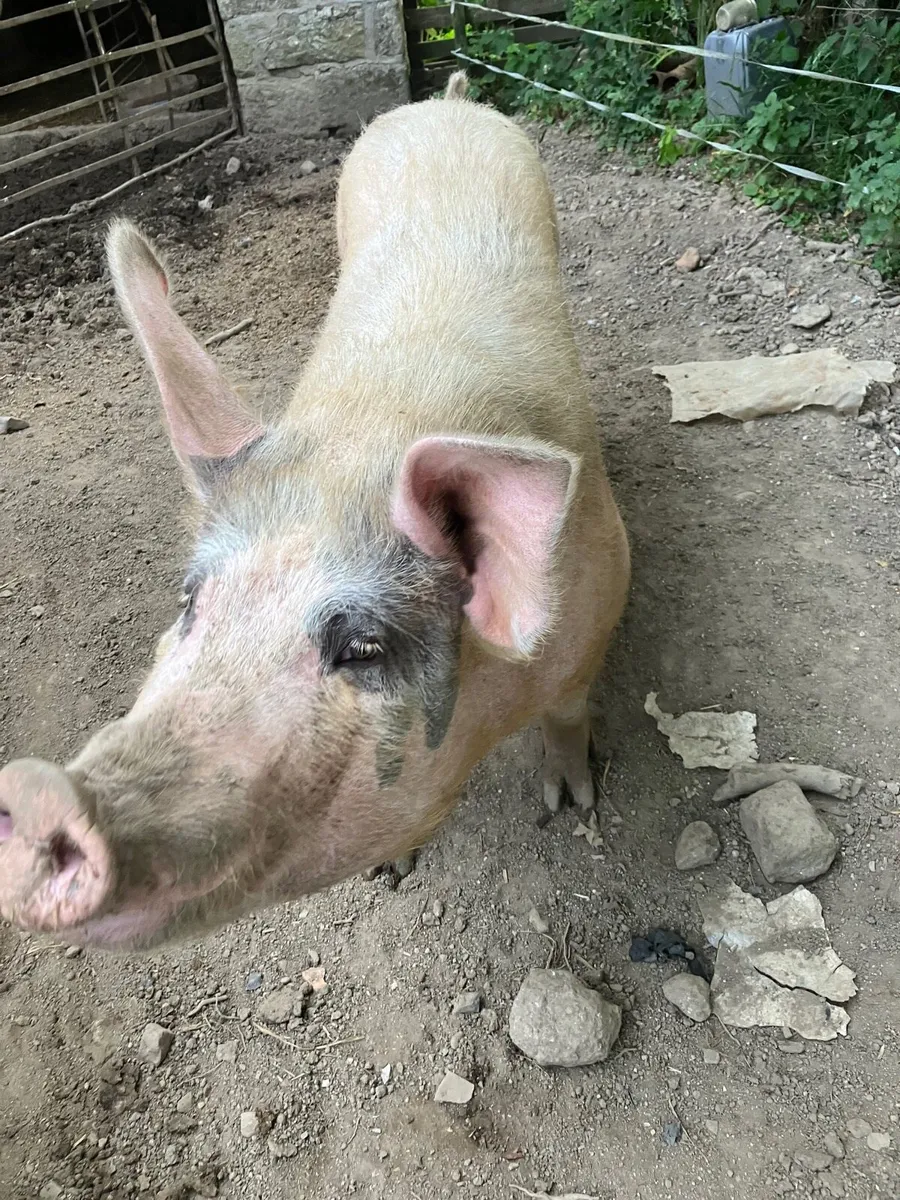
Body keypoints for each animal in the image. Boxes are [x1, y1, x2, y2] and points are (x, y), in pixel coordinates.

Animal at [0, 72, 629, 949]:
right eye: (191, 602)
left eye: (363, 648)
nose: (37, 792)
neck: (364, 441)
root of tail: (445, 102)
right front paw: (388, 873)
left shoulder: (601, 601)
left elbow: (571, 715)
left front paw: (570, 804)